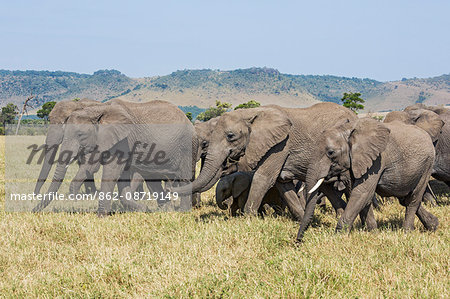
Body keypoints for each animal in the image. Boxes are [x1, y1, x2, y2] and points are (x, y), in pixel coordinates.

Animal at [33, 100, 197, 216]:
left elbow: (110, 171)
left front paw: (100, 216)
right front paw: (144, 209)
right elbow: (120, 178)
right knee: (153, 180)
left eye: (81, 135)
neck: (98, 110)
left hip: (187, 147)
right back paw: (166, 211)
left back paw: (182, 212)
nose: (33, 210)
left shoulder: (123, 140)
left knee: (184, 178)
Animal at [172, 102, 370, 224]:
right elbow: (282, 183)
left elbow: (264, 178)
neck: (253, 113)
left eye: (230, 136)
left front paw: (247, 219)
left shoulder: (280, 145)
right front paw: (304, 220)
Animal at [298, 118, 442, 243]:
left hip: (427, 164)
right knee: (404, 198)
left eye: (331, 152)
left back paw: (407, 232)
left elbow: (361, 193)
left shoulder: (377, 160)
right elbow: (360, 195)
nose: (298, 242)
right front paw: (373, 232)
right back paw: (434, 226)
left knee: (413, 199)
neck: (348, 129)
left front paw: (338, 238)